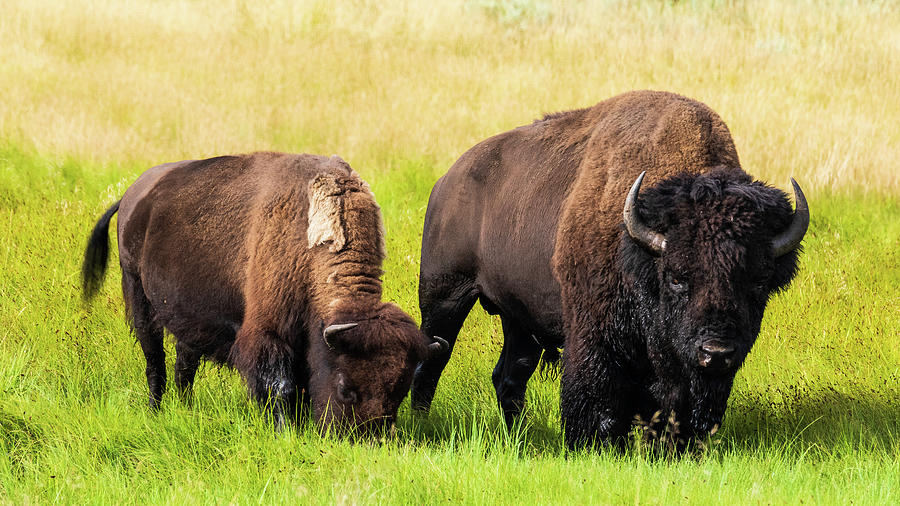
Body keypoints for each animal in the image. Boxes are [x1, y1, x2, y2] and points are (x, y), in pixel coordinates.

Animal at [82, 152, 448, 432]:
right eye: (346, 387)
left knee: (185, 363)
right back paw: (156, 410)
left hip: (189, 317)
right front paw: (284, 430)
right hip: (138, 297)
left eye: (401, 390)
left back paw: (185, 408)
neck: (309, 243)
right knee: (154, 360)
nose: (365, 438)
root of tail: (133, 195)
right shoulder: (269, 333)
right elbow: (280, 384)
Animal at [414, 90, 808, 446]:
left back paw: (518, 437)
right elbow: (596, 396)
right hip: (445, 296)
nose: (716, 352)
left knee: (510, 375)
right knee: (431, 361)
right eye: (677, 277)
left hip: (519, 318)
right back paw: (422, 424)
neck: (641, 252)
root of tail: (447, 180)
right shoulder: (593, 334)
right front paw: (589, 444)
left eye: (758, 283)